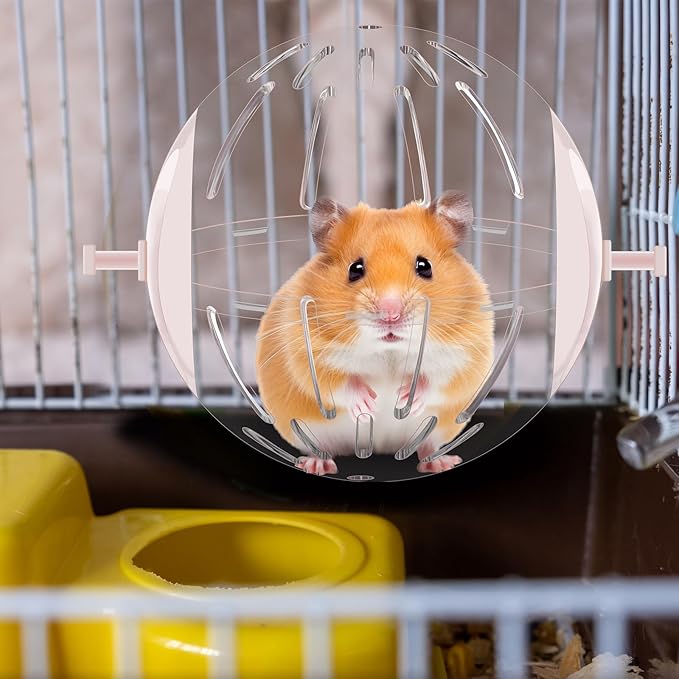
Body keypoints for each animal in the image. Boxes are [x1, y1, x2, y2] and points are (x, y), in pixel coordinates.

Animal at [255, 190, 494, 475]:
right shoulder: (303, 349)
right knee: (319, 448)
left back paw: (440, 463)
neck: (389, 350)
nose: (390, 314)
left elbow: (439, 379)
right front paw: (369, 403)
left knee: (428, 446)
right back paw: (317, 465)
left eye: (424, 266)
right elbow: (336, 381)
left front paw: (404, 398)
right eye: (355, 269)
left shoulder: (467, 355)